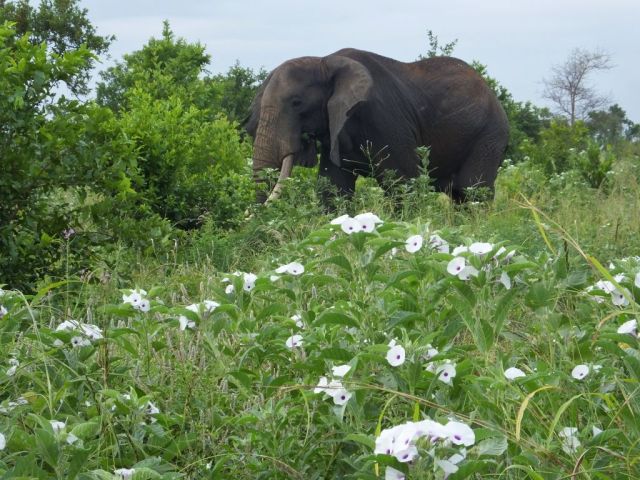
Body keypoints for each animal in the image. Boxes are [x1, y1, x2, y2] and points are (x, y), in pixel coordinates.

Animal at [244, 48, 509, 204]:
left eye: (297, 103)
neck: (325, 62)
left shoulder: (385, 120)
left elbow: (402, 184)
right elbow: (334, 189)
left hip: (488, 135)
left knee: (472, 191)